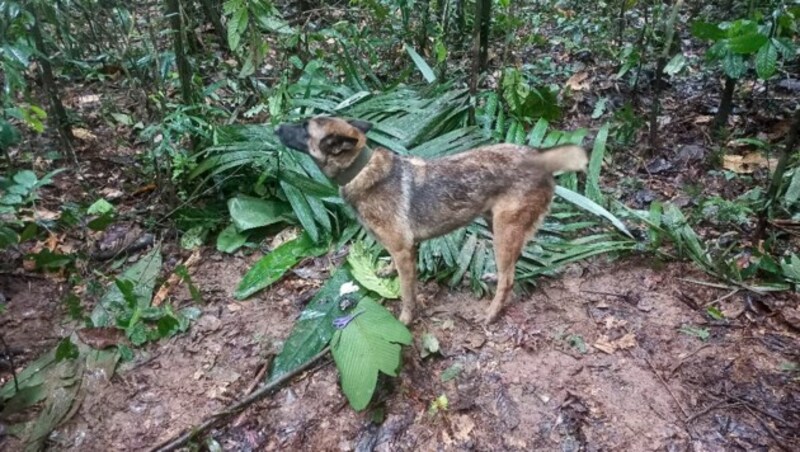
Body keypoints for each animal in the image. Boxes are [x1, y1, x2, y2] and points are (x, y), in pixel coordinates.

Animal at [276, 115, 588, 324]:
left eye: (304, 127)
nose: (276, 127)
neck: (360, 169)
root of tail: (538, 156)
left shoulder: (403, 250)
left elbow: (407, 293)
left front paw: (405, 320)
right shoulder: (403, 249)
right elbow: (395, 270)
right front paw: (388, 271)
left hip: (504, 230)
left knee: (509, 278)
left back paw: (491, 313)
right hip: (496, 225)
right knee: (512, 265)